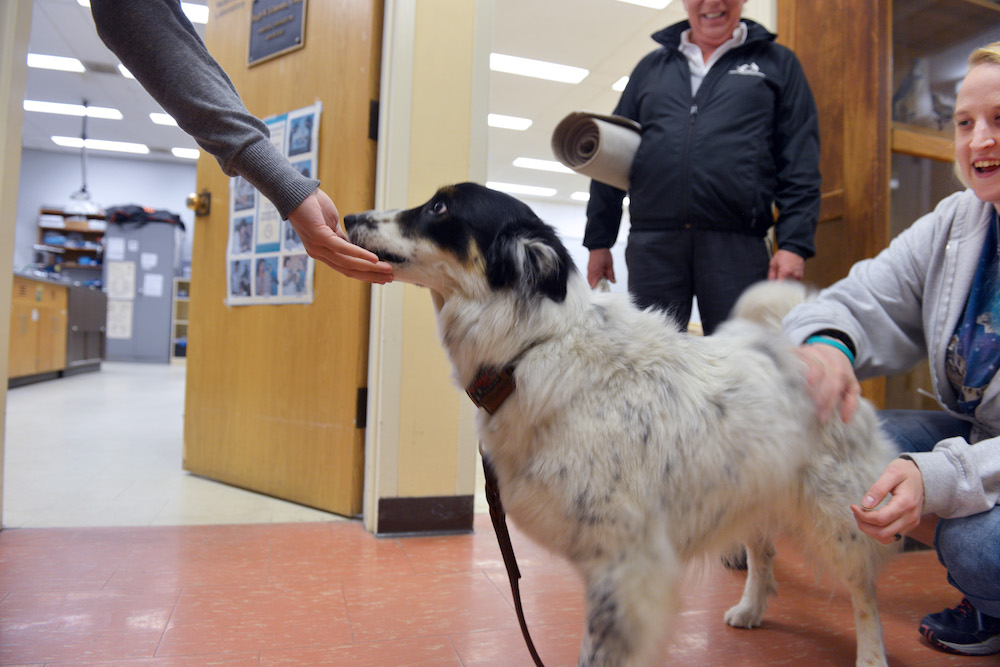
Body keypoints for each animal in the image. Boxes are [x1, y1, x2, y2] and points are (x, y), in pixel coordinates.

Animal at [346, 183, 900, 667]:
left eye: (439, 208)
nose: (350, 217)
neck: (533, 346)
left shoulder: (626, 565)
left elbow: (598, 655)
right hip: (752, 491)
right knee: (763, 552)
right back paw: (750, 608)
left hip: (840, 519)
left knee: (865, 592)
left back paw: (872, 655)